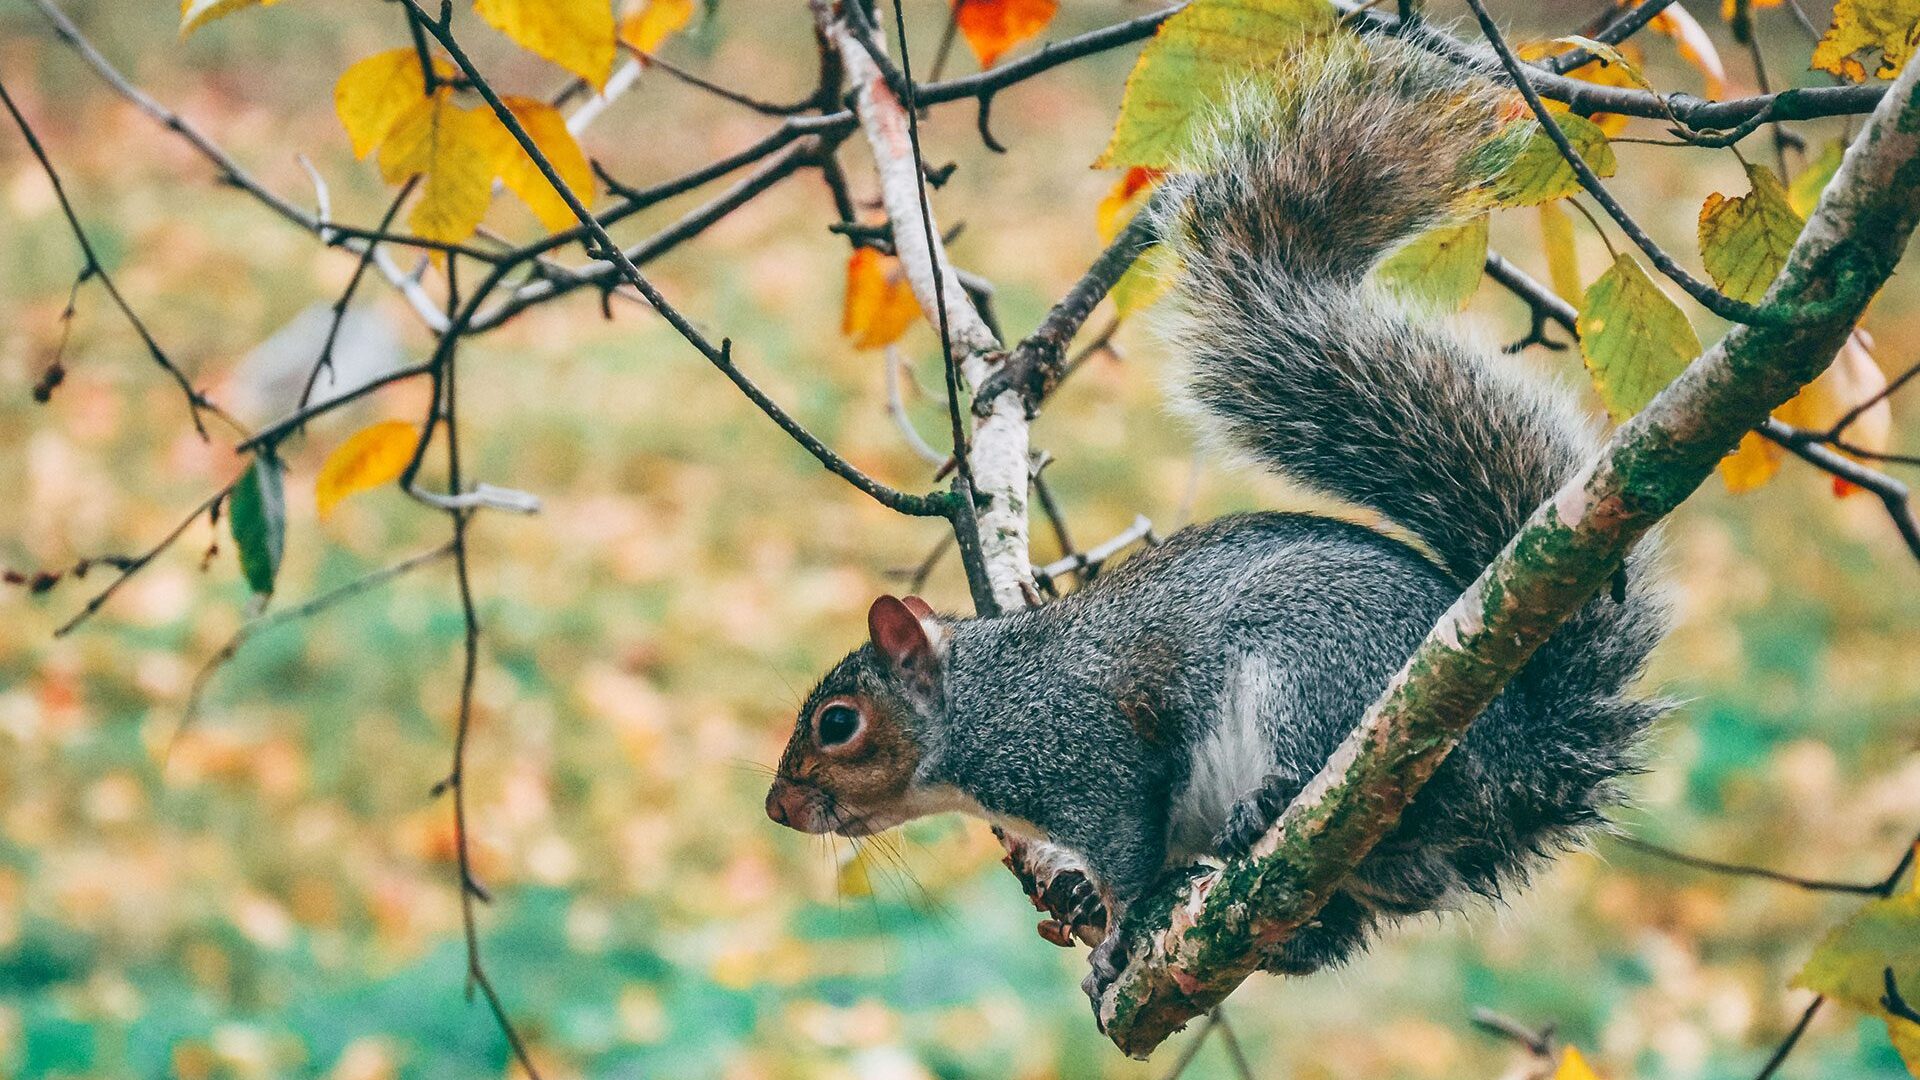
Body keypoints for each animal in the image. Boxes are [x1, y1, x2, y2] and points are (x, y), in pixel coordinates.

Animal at [765, 33, 1669, 1003]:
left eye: (838, 723)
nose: (777, 807)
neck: (986, 700)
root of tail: (1519, 757)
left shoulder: (1090, 756)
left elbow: (1126, 850)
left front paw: (1114, 940)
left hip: (1318, 667)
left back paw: (1269, 805)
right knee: (1396, 893)